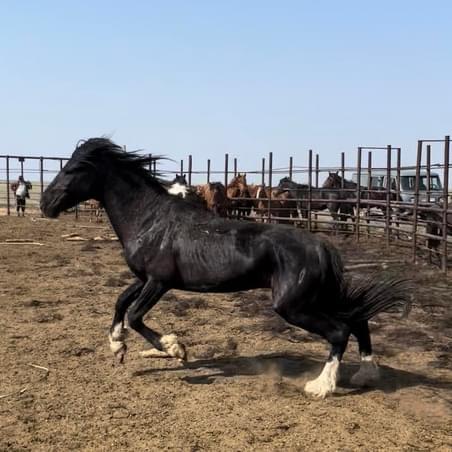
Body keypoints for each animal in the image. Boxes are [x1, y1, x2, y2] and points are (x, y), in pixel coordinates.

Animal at [40, 138, 412, 396]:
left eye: (73, 169)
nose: (45, 203)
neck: (150, 220)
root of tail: (322, 246)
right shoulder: (144, 278)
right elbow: (120, 303)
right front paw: (118, 347)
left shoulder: (159, 282)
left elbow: (135, 316)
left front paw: (175, 349)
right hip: (317, 298)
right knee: (358, 320)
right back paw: (366, 374)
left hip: (294, 306)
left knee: (340, 331)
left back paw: (321, 387)